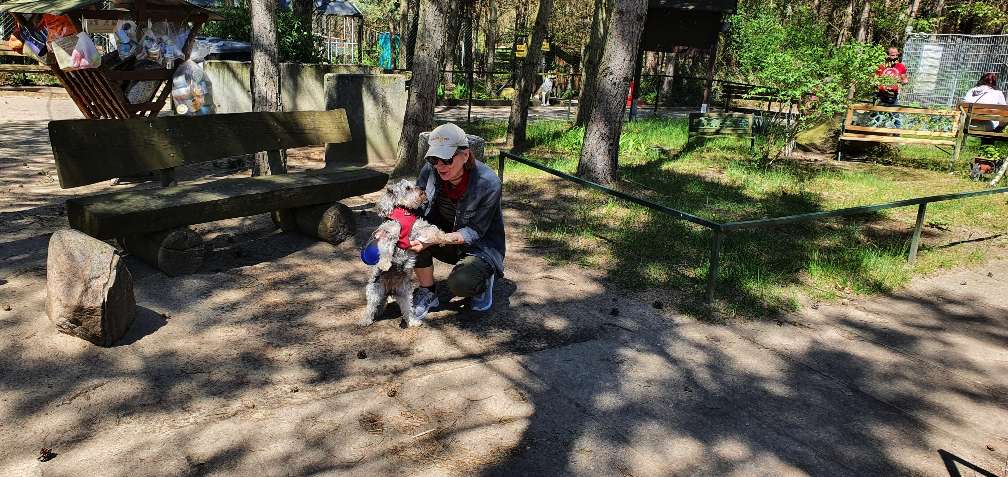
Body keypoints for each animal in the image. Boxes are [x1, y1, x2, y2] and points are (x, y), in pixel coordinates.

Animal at [359, 179, 448, 327]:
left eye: (415, 185)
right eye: (407, 188)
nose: (422, 190)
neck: (404, 211)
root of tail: (390, 289)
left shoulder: (419, 227)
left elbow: (434, 230)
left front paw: (445, 238)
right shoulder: (389, 233)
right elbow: (386, 250)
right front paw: (384, 264)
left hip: (405, 294)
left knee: (407, 310)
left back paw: (413, 321)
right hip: (374, 291)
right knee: (371, 308)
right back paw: (365, 320)